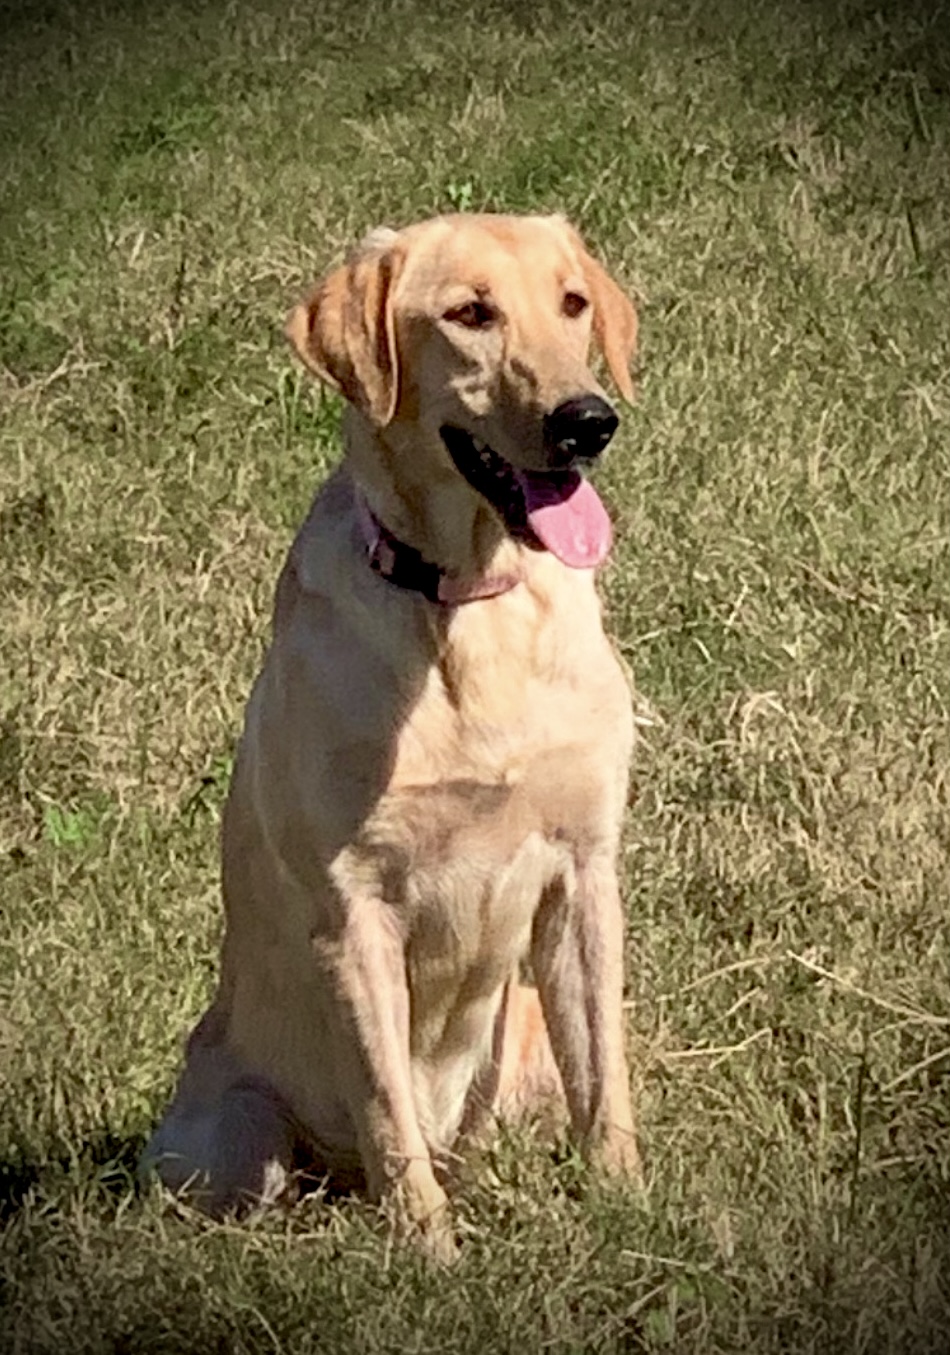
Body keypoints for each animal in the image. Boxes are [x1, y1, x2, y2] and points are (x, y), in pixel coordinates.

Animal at [140, 208, 642, 1257]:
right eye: (470, 314)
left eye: (573, 302)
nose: (588, 421)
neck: (472, 604)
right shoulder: (354, 910)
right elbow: (388, 1116)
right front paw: (433, 1259)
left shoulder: (585, 869)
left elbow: (605, 1081)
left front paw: (637, 1210)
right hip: (225, 1140)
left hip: (521, 1030)